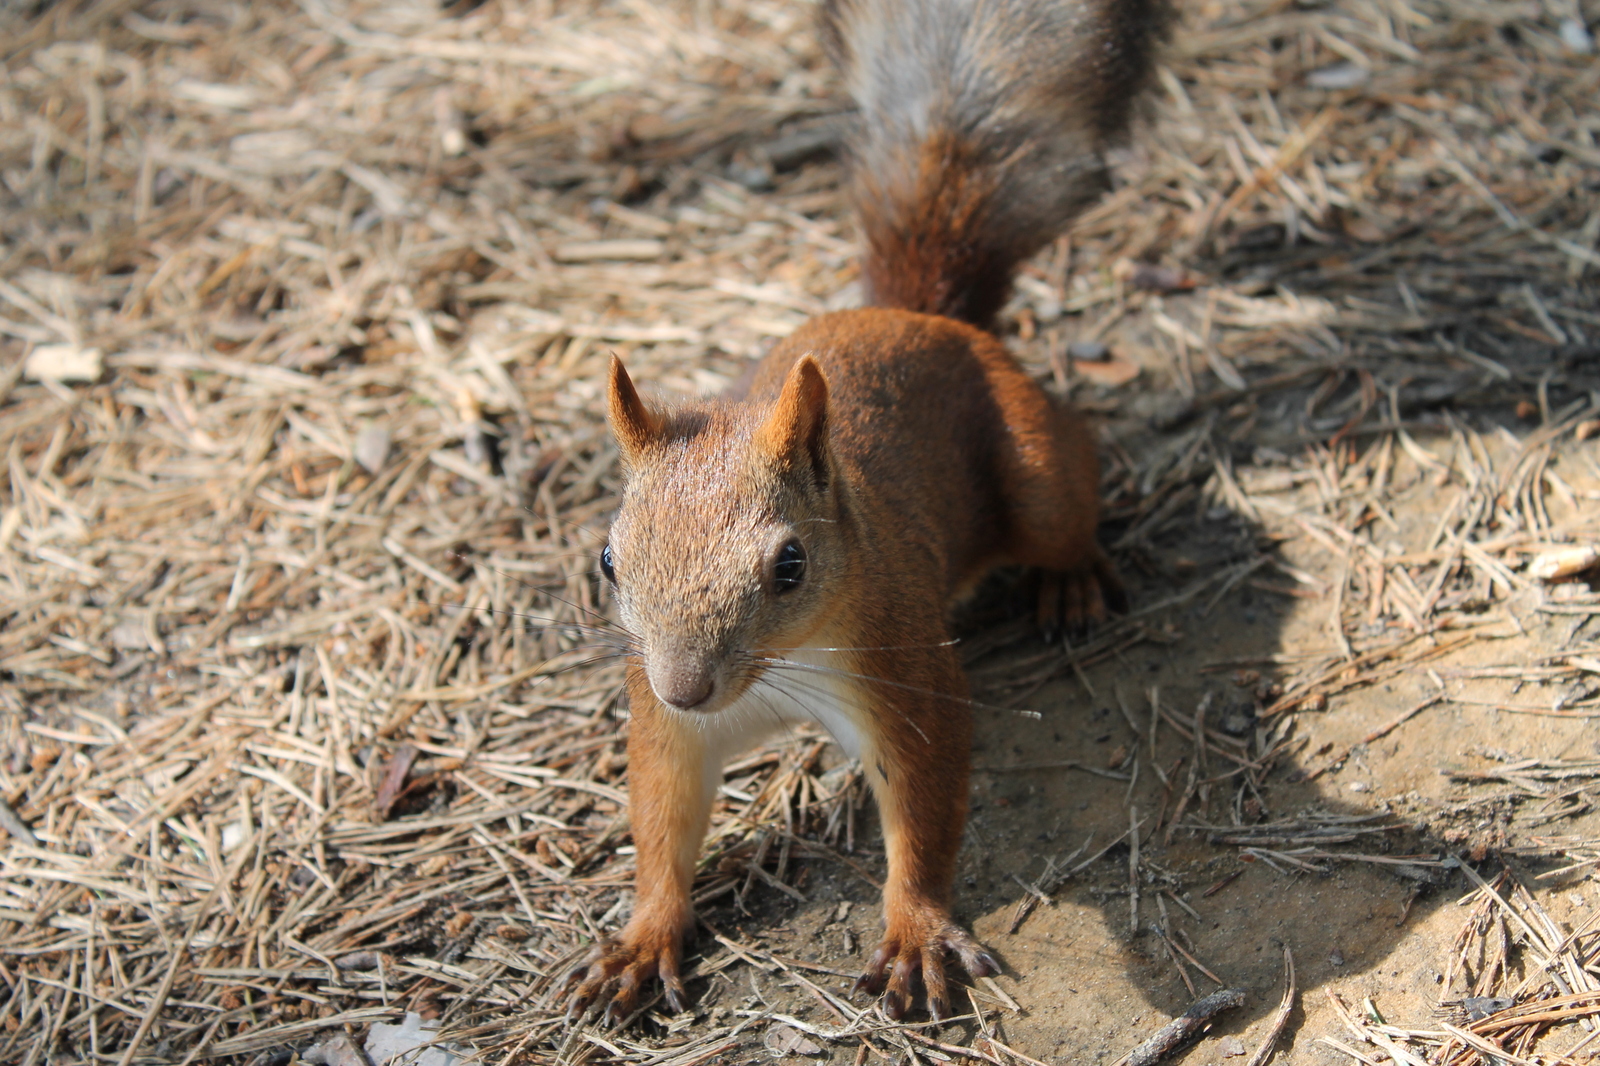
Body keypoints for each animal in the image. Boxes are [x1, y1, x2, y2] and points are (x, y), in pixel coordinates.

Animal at [569, 0, 1171, 1024]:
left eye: (790, 566)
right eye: (610, 562)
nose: (685, 685)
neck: (780, 671)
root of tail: (923, 316)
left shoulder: (906, 673)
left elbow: (926, 809)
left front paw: (915, 933)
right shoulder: (670, 731)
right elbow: (661, 816)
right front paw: (644, 938)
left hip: (1038, 471)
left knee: (1068, 504)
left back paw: (1074, 579)